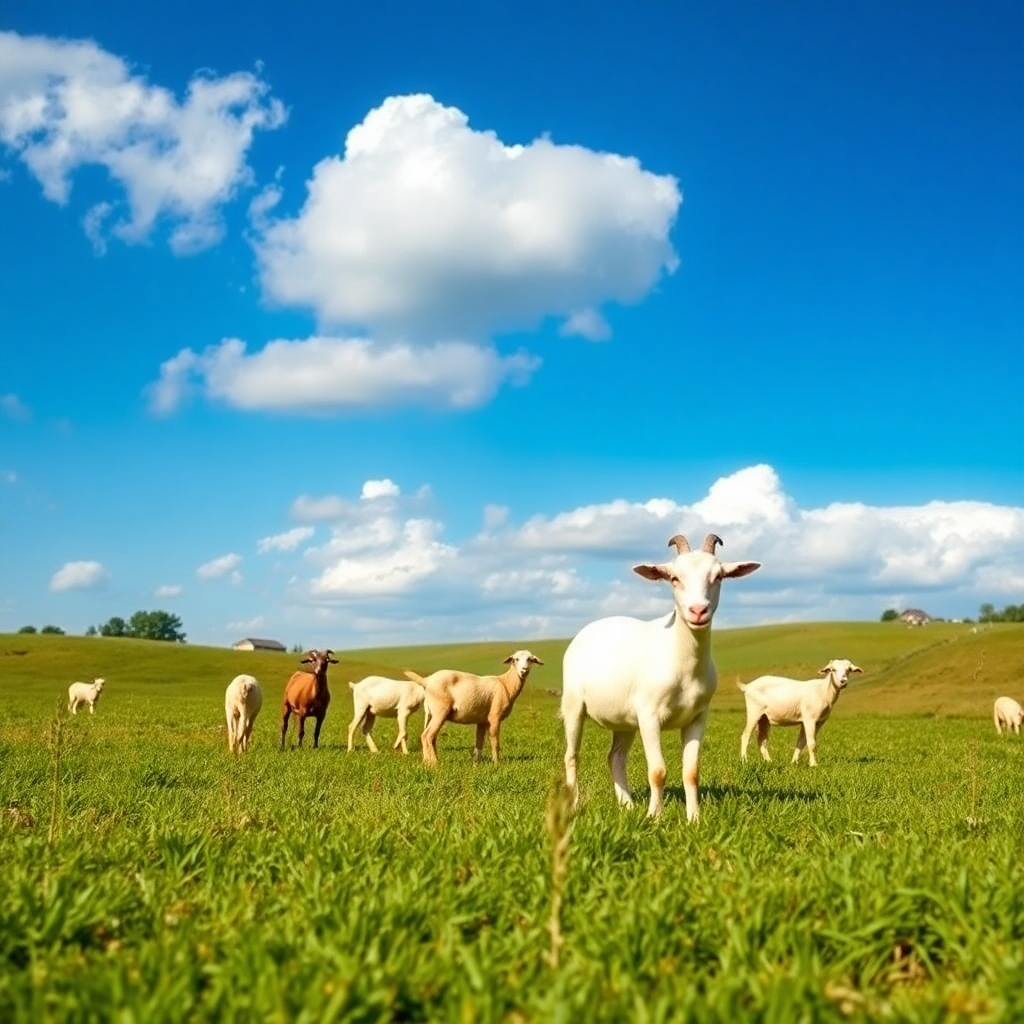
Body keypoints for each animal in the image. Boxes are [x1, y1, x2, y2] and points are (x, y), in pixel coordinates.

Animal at [406, 650, 544, 765]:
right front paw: (497, 764)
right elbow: (495, 741)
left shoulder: (482, 720)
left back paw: (427, 762)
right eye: (516, 659)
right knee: (427, 735)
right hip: (440, 711)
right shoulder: (494, 716)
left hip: (431, 713)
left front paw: (476, 764)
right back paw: (434, 764)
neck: (506, 684)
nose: (524, 670)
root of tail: (427, 681)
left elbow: (479, 743)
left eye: (530, 659)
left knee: (429, 736)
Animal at [562, 533, 760, 821]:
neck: (682, 664)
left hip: (624, 720)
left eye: (719, 576)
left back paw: (628, 805)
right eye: (674, 578)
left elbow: (691, 772)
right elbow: (657, 771)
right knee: (571, 755)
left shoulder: (698, 716)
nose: (698, 611)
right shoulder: (649, 715)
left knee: (615, 757)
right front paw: (654, 817)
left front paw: (694, 818)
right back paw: (574, 804)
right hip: (573, 704)